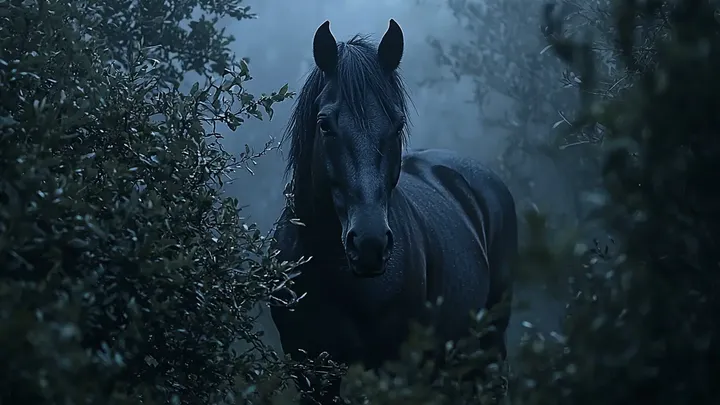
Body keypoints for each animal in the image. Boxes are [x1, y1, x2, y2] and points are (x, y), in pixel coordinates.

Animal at [270, 19, 517, 404]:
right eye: (324, 124)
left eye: (398, 125)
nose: (369, 244)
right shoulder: (310, 371)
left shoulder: (394, 368)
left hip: (486, 345)